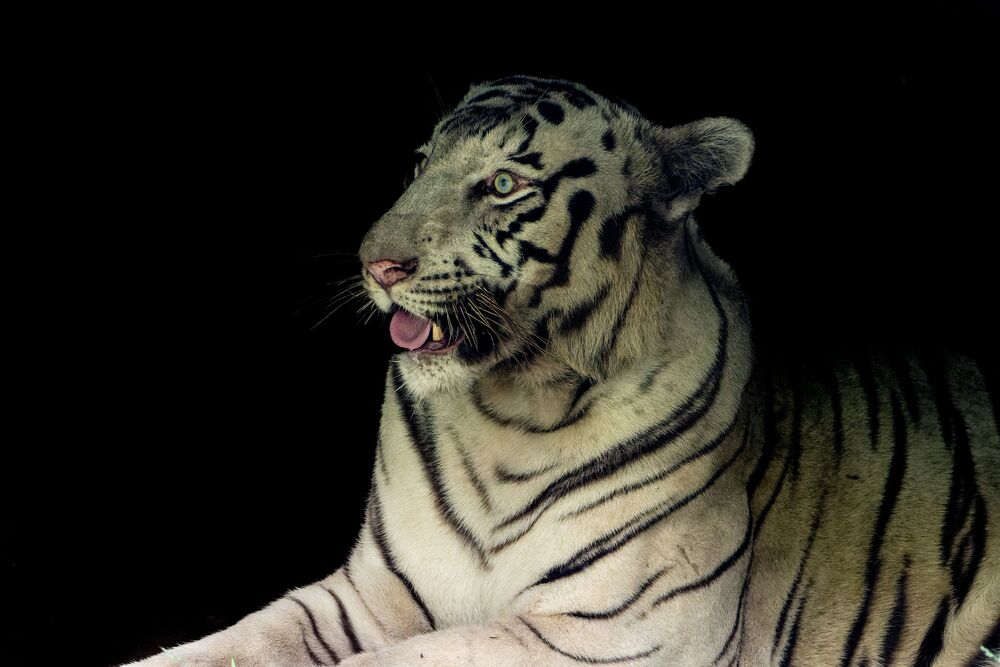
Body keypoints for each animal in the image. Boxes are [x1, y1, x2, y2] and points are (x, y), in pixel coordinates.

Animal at [126, 76, 1000, 666]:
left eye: (503, 184)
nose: (376, 263)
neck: (508, 412)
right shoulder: (374, 593)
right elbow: (241, 641)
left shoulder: (611, 633)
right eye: (420, 163)